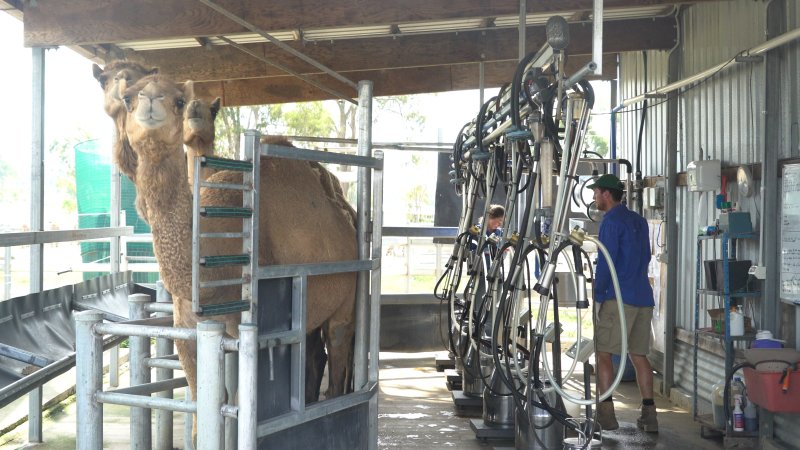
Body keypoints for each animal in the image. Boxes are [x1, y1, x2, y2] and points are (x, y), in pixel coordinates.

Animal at [120, 75, 357, 427]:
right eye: (127, 98)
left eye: (179, 100)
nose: (151, 102)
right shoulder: (185, 336)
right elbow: (199, 410)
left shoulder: (246, 335)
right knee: (314, 353)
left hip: (346, 299)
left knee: (339, 348)